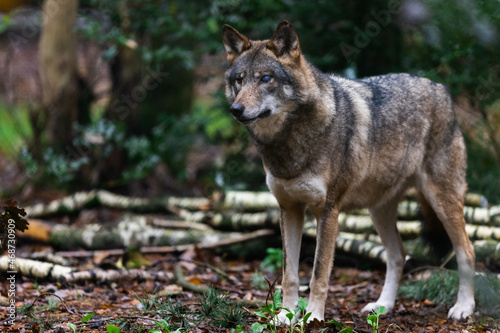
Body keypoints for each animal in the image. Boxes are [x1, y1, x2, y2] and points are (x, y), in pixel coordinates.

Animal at [223, 20, 476, 322]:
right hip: (379, 211)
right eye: (239, 80)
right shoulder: (289, 208)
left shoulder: (328, 211)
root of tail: (441, 88)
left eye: (265, 79)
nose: (236, 109)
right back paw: (383, 305)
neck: (289, 143)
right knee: (398, 255)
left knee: (466, 251)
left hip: (442, 202)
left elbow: (319, 273)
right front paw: (285, 316)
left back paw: (464, 307)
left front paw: (313, 317)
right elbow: (290, 275)